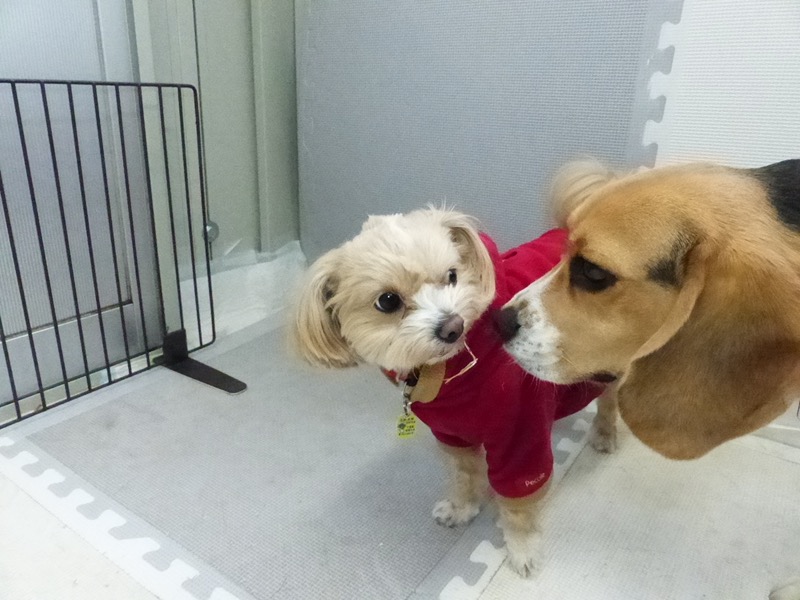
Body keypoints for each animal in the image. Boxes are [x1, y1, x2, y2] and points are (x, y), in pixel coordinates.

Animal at [291, 207, 609, 576]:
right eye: (387, 301)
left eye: (452, 276)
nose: (452, 326)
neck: (447, 373)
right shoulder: (452, 436)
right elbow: (465, 475)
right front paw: (462, 508)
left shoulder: (521, 438)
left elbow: (517, 505)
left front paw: (522, 549)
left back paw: (605, 434)